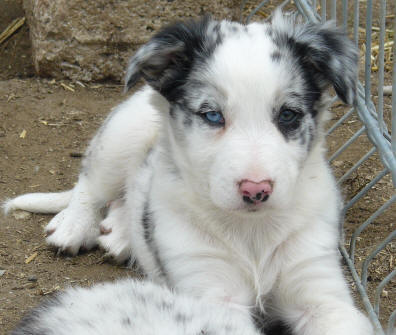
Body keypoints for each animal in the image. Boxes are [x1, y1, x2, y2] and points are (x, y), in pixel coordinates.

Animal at [4, 10, 372, 335]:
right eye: (212, 115)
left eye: (288, 115)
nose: (256, 190)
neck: (253, 233)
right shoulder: (210, 290)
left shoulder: (320, 290)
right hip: (122, 133)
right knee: (92, 184)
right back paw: (73, 226)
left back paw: (120, 232)